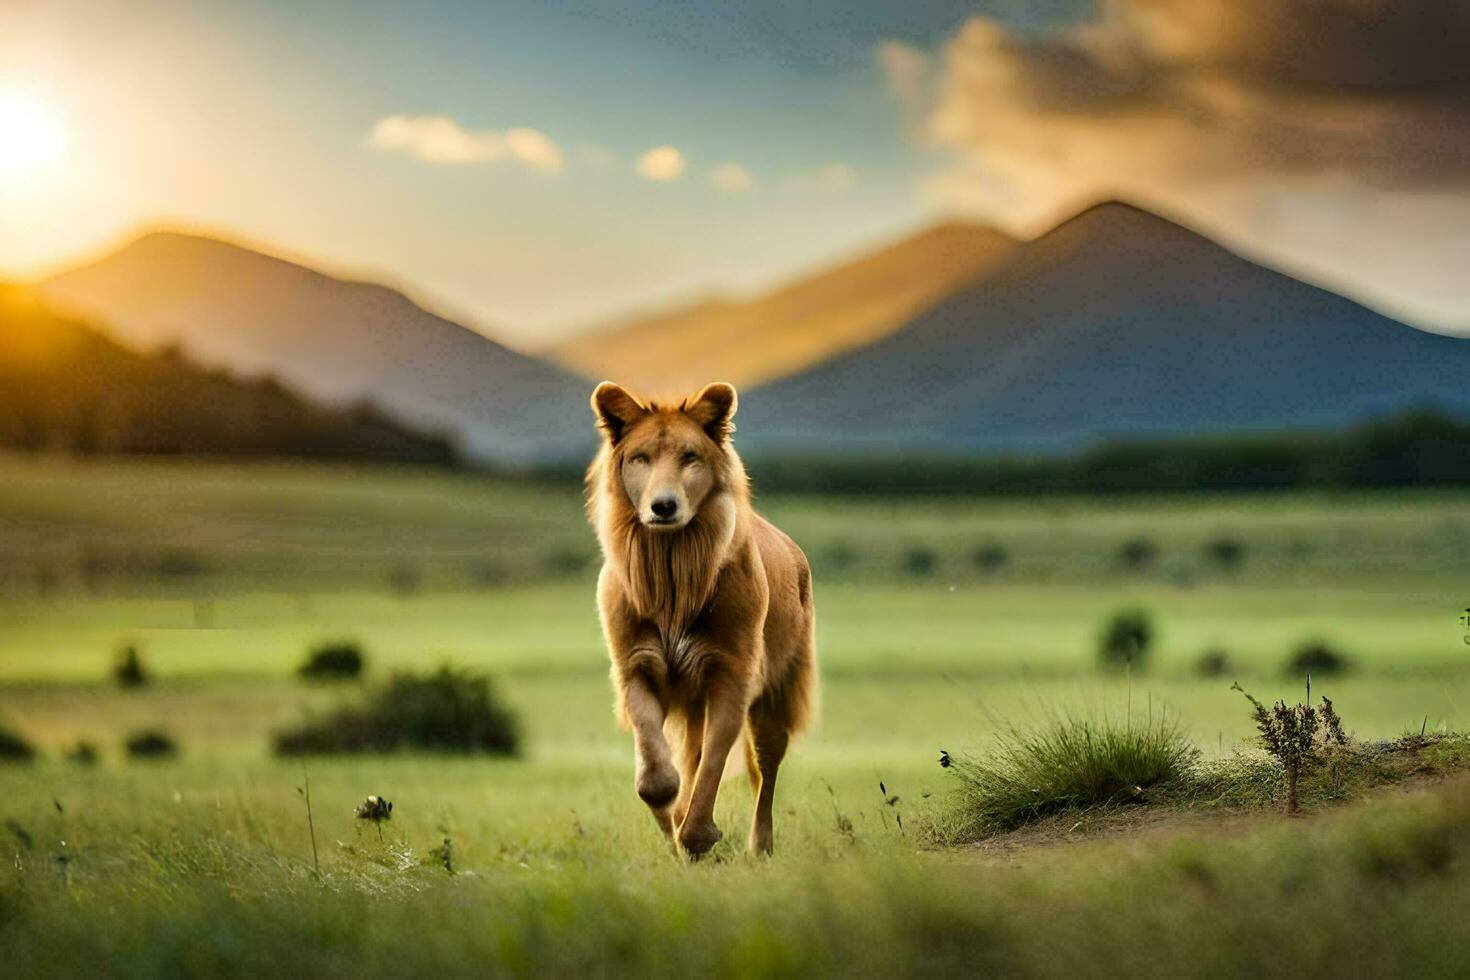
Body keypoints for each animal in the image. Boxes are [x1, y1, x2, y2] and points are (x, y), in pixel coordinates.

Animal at [585, 379, 817, 852]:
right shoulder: (636, 665)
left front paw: (696, 837)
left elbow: (712, 766)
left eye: (690, 457)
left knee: (765, 771)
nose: (663, 506)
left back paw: (759, 847)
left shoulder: (731, 673)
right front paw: (672, 823)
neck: (672, 565)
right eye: (640, 458)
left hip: (777, 693)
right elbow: (658, 774)